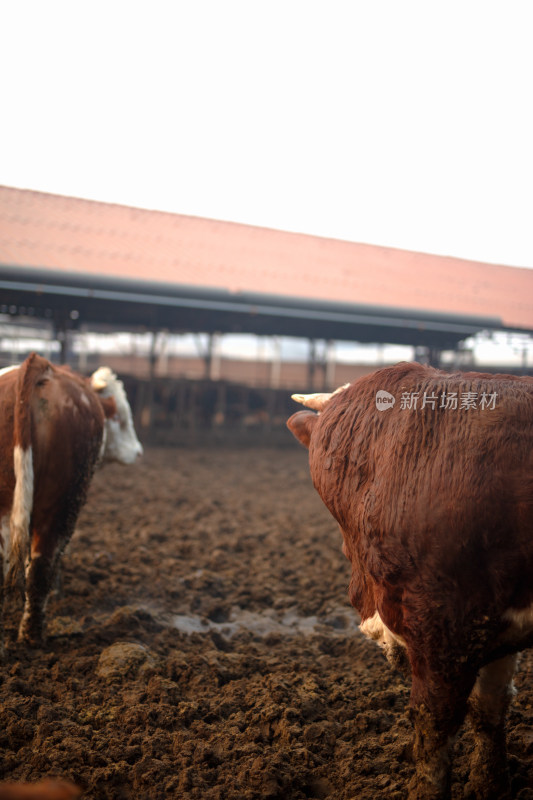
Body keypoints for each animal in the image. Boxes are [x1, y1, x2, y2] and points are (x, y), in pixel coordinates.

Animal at [0, 354, 142, 648]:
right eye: (121, 418)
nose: (138, 451)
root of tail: (40, 365)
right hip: (62, 503)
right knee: (42, 564)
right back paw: (32, 637)